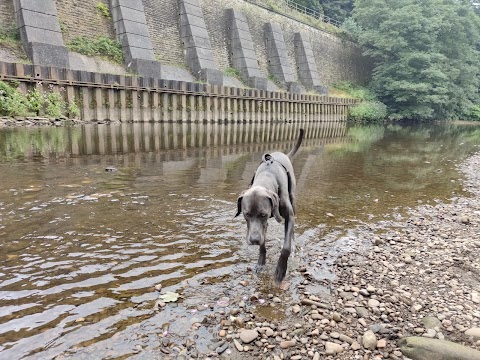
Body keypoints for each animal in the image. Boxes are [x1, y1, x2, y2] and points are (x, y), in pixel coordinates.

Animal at [235, 129, 304, 284]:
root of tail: (282, 154)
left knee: (292, 232)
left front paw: (280, 270)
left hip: (293, 199)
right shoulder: (262, 226)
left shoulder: (288, 216)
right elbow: (262, 245)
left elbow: (286, 248)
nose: (254, 240)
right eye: (246, 214)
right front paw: (261, 263)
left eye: (263, 214)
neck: (267, 177)